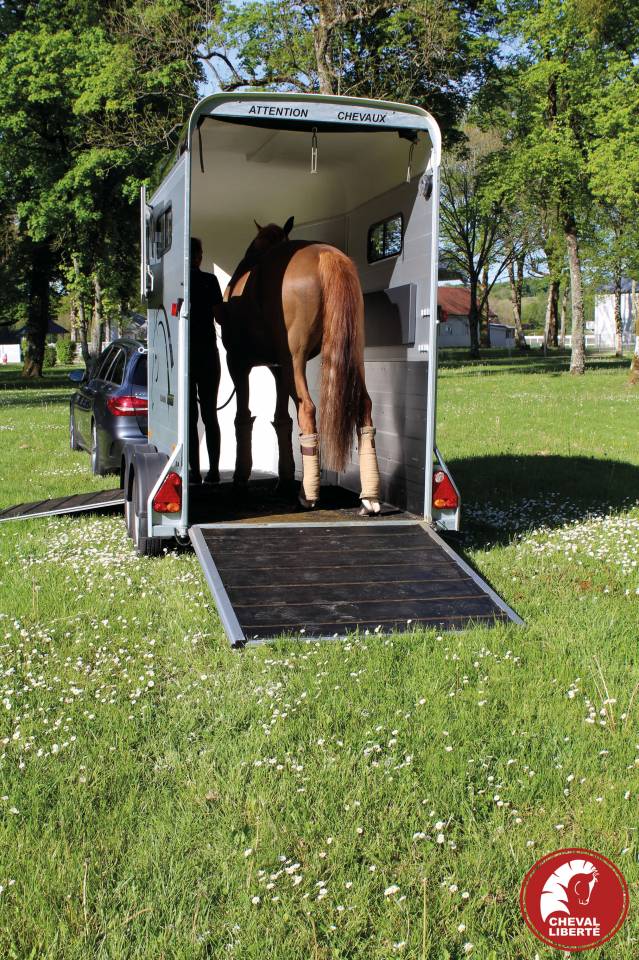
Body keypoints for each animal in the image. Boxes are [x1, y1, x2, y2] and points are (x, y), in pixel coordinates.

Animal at [216, 216, 382, 515]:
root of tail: (325, 254)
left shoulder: (238, 363)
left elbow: (242, 418)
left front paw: (240, 478)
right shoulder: (278, 368)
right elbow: (281, 420)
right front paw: (283, 479)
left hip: (294, 361)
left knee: (307, 408)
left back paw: (309, 493)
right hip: (351, 356)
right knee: (364, 405)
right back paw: (370, 497)